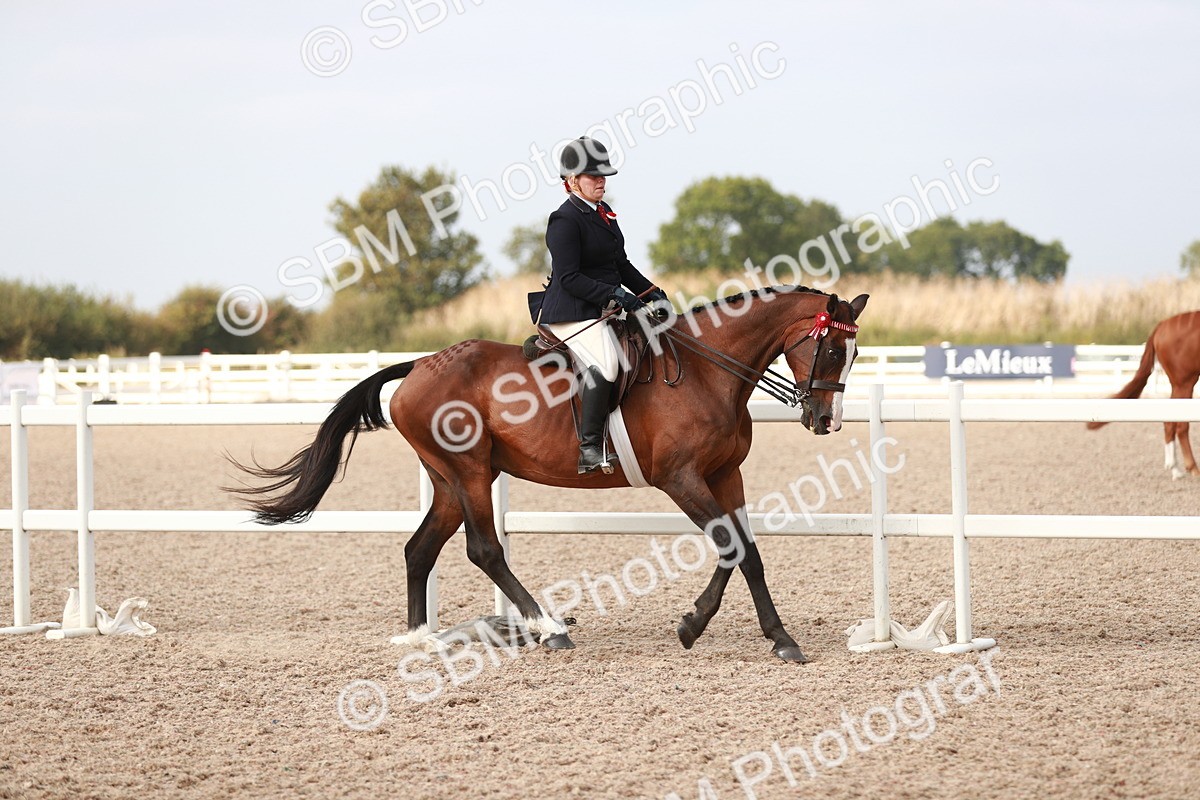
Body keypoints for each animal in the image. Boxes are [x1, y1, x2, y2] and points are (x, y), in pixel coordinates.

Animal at [229, 286, 868, 662]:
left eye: (854, 354)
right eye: (833, 351)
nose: (825, 420)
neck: (709, 373)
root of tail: (421, 365)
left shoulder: (725, 476)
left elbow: (748, 552)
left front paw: (764, 635)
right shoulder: (681, 478)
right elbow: (734, 549)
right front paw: (705, 628)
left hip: (450, 480)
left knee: (420, 549)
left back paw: (422, 639)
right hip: (469, 472)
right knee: (484, 550)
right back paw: (549, 628)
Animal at [1087, 310, 1200, 479]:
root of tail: (1162, 326)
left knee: (1170, 422)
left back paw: (1175, 468)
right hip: (1184, 383)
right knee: (1180, 425)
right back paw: (1191, 468)